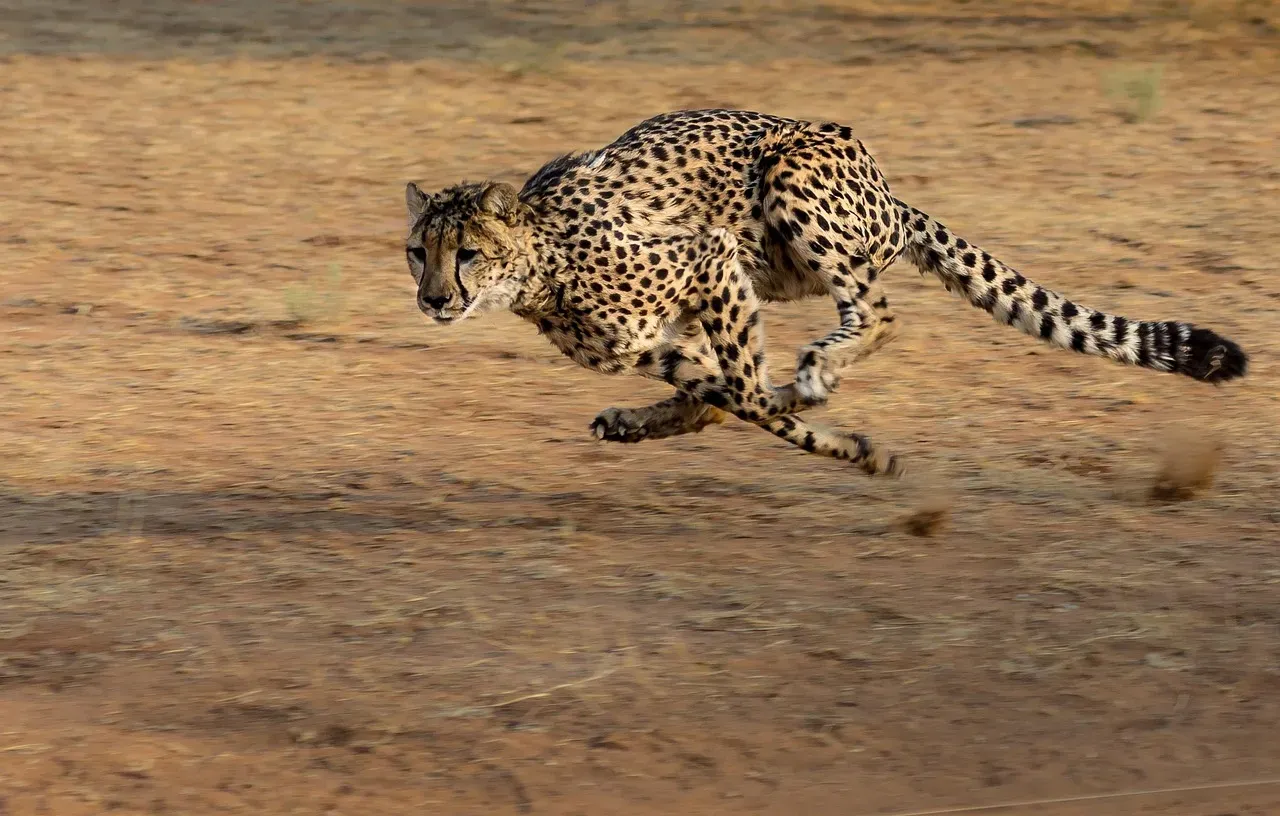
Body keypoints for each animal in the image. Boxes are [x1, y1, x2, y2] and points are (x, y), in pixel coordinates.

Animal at [403, 109, 1247, 477]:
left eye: (467, 253)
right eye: (418, 253)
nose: (434, 300)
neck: (540, 266)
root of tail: (889, 191)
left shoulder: (708, 257)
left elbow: (748, 394)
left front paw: (841, 436)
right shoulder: (657, 341)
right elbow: (726, 398)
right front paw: (846, 443)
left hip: (790, 184)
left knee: (877, 311)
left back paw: (816, 370)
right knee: (722, 393)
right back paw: (651, 419)